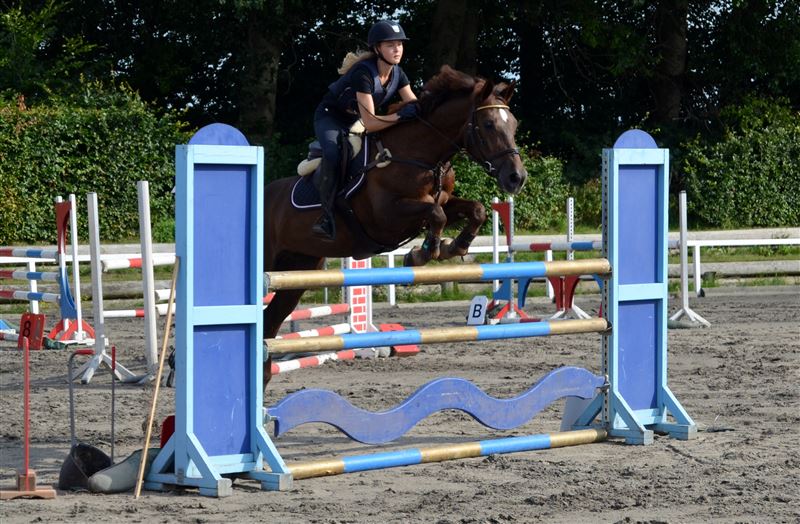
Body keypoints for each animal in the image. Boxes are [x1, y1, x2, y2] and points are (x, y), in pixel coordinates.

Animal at [264, 65, 528, 385]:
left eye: (513, 124)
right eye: (488, 124)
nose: (516, 178)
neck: (421, 155)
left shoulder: (443, 201)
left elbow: (474, 210)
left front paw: (454, 246)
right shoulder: (386, 217)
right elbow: (436, 215)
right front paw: (423, 253)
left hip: (299, 270)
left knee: (269, 324)